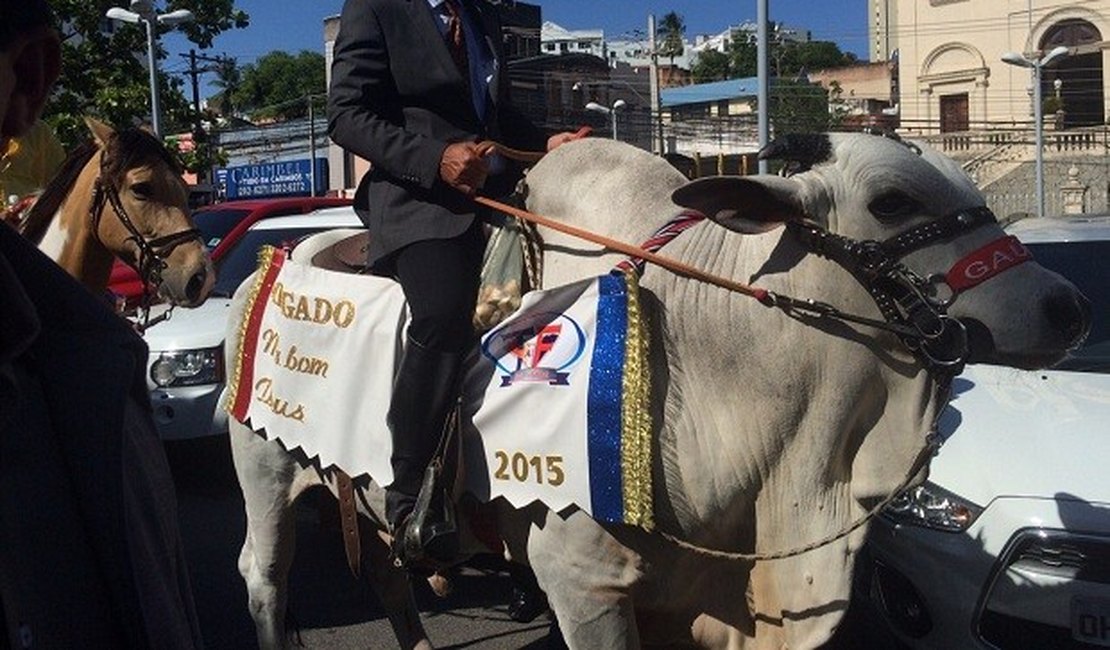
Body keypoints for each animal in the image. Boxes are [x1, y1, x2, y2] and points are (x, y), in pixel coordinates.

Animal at [229, 133, 1087, 647]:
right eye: (892, 201)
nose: (1067, 308)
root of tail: (284, 254)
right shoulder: (585, 585)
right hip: (265, 470)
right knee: (262, 576)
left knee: (384, 571)